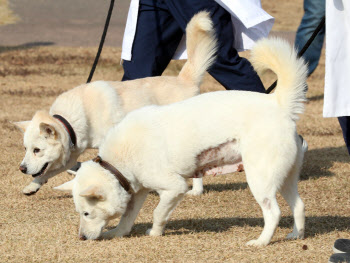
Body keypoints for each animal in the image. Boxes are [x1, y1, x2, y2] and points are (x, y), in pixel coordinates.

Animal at [15, 11, 217, 195]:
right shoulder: (72, 154)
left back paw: (195, 190)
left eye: (37, 150)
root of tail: (185, 80)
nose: (22, 169)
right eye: (26, 148)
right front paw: (33, 186)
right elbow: (49, 172)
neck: (73, 119)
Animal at [56, 37, 308, 248]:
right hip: (285, 178)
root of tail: (278, 103)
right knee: (298, 205)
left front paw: (155, 233)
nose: (81, 237)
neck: (116, 163)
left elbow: (158, 213)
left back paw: (261, 241)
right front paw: (118, 233)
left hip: (259, 179)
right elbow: (127, 217)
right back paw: (296, 234)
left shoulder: (174, 187)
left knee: (274, 213)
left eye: (86, 213)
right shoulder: (138, 191)